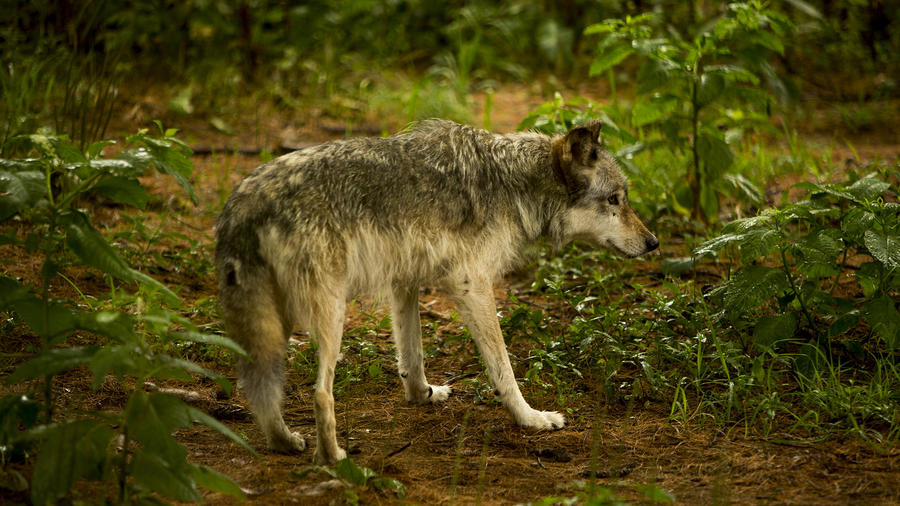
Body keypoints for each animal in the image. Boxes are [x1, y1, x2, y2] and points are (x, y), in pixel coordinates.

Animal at [215, 119, 658, 464]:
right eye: (615, 199)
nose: (653, 243)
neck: (514, 185)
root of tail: (245, 203)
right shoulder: (472, 285)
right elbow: (503, 369)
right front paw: (531, 418)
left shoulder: (404, 282)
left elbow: (412, 355)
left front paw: (422, 395)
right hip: (330, 315)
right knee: (321, 394)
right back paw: (335, 459)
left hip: (273, 327)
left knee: (259, 391)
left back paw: (285, 443)